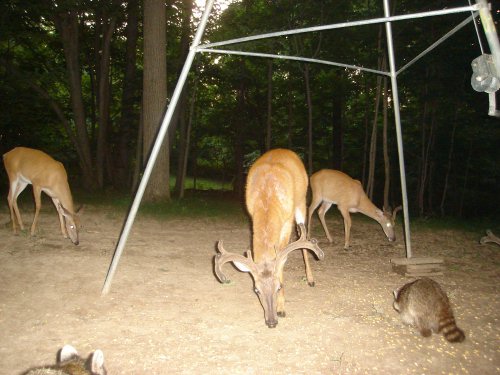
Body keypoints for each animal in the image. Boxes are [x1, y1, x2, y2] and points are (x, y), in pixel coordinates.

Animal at [215, 148, 324, 328]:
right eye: (256, 290)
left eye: (279, 287)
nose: (271, 322)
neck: (267, 197)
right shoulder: (251, 215)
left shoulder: (287, 221)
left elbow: (282, 259)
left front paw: (281, 308)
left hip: (301, 203)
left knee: (304, 235)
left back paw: (310, 279)